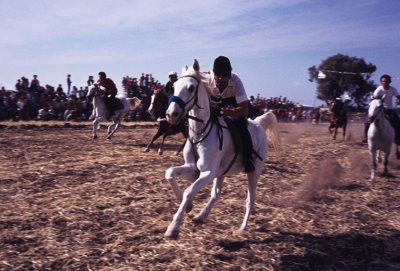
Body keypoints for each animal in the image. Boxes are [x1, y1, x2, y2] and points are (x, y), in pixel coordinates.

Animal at [162, 59, 282, 238]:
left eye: (190, 88)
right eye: (174, 86)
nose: (171, 114)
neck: (200, 133)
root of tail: (258, 123)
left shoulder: (207, 173)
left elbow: (189, 191)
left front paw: (173, 227)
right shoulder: (193, 169)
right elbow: (170, 173)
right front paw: (189, 207)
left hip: (254, 172)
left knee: (250, 199)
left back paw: (243, 228)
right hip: (222, 173)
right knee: (216, 194)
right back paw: (200, 216)